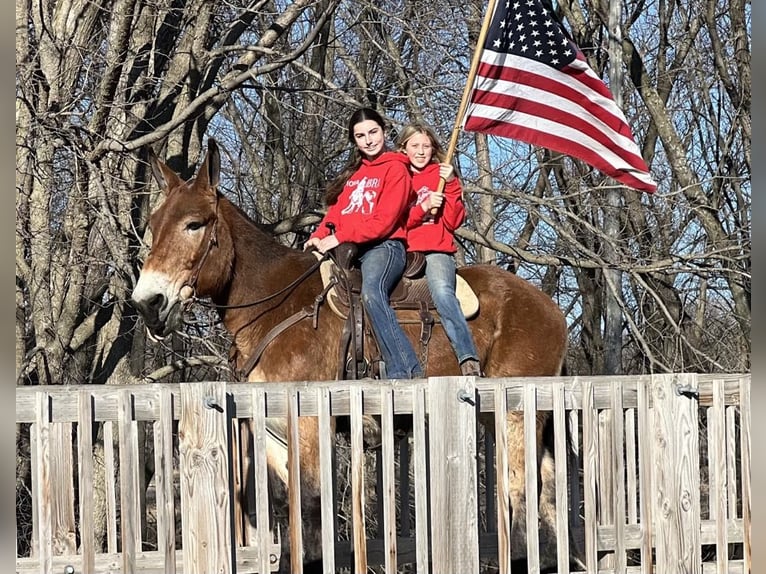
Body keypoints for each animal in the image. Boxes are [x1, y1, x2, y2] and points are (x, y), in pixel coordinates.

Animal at [130, 138, 568, 572]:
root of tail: (553, 310)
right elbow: (285, 506)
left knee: (523, 491)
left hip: (516, 413)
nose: (148, 303)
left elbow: (309, 504)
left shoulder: (308, 421)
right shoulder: (273, 430)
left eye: (194, 224)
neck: (279, 305)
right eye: (154, 224)